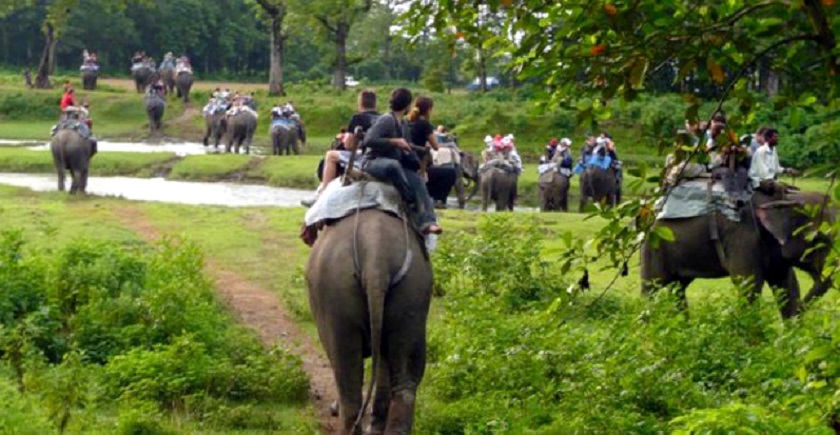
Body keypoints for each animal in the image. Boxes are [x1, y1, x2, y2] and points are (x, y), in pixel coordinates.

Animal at [644, 192, 832, 318]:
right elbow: (748, 285)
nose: (802, 310)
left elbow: (787, 287)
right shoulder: (743, 237)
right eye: (818, 239)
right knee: (651, 289)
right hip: (654, 245)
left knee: (677, 288)